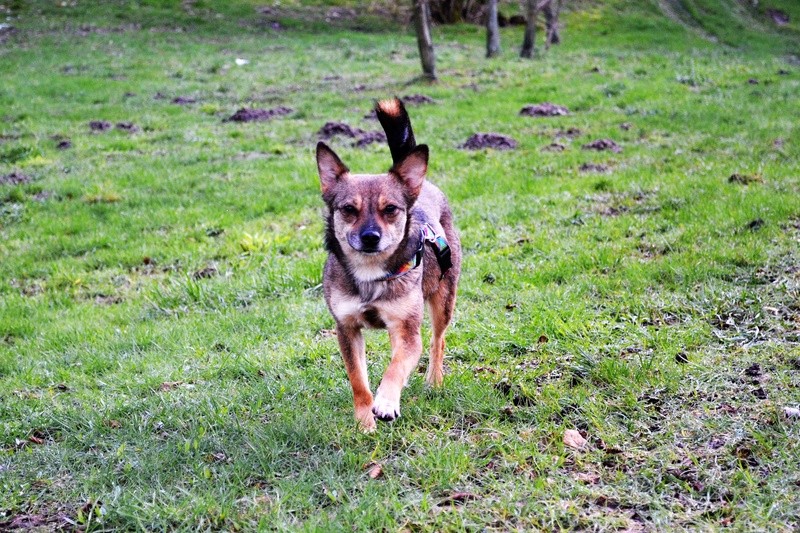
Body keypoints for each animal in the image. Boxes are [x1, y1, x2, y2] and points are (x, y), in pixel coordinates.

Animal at [314, 97, 460, 430]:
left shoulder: (406, 330)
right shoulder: (347, 329)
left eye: (391, 209)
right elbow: (359, 381)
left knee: (437, 341)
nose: (370, 237)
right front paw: (364, 422)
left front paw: (386, 403)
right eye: (348, 209)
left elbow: (395, 367)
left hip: (443, 298)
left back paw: (434, 382)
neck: (370, 274)